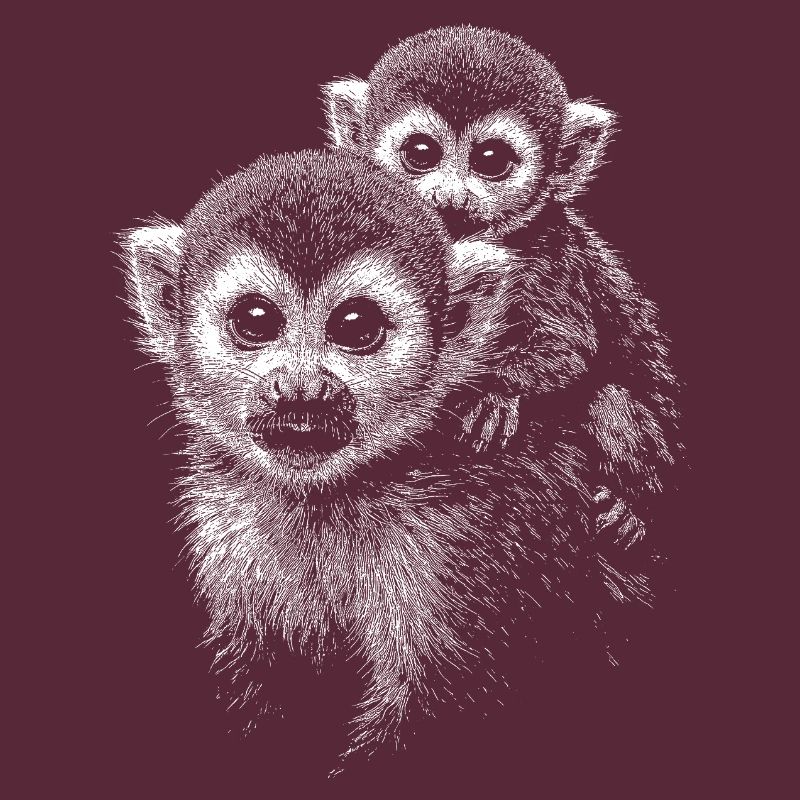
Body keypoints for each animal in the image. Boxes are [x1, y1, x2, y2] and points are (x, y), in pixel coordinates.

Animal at [120, 148, 651, 770]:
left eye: (356, 327)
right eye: (255, 320)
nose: (301, 390)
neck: (331, 497)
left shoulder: (470, 535)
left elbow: (440, 707)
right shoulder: (228, 522)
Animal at [321, 25, 682, 545]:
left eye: (492, 161)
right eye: (420, 154)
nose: (451, 198)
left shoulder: (546, 252)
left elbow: (569, 349)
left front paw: (493, 394)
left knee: (607, 399)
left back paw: (633, 508)